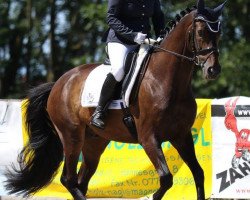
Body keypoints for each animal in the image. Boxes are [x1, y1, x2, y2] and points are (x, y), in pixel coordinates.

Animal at [4, 0, 227, 199]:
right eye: (201, 32)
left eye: (218, 33)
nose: (213, 70)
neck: (167, 81)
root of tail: (60, 82)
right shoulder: (148, 138)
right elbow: (165, 178)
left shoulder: (181, 135)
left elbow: (198, 173)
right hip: (71, 136)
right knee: (68, 179)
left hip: (94, 142)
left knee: (81, 181)